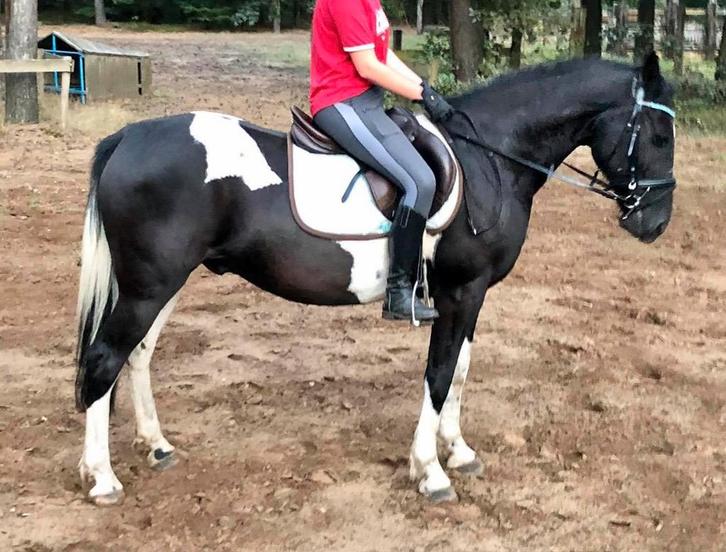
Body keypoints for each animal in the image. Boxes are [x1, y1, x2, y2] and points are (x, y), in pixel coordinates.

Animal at [74, 53, 676, 505]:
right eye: (659, 135)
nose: (654, 224)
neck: (490, 160)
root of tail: (129, 136)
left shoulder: (473, 294)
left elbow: (460, 372)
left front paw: (459, 451)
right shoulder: (460, 291)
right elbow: (439, 374)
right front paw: (430, 471)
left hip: (162, 285)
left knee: (139, 354)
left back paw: (157, 445)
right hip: (149, 286)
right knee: (105, 358)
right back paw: (102, 478)